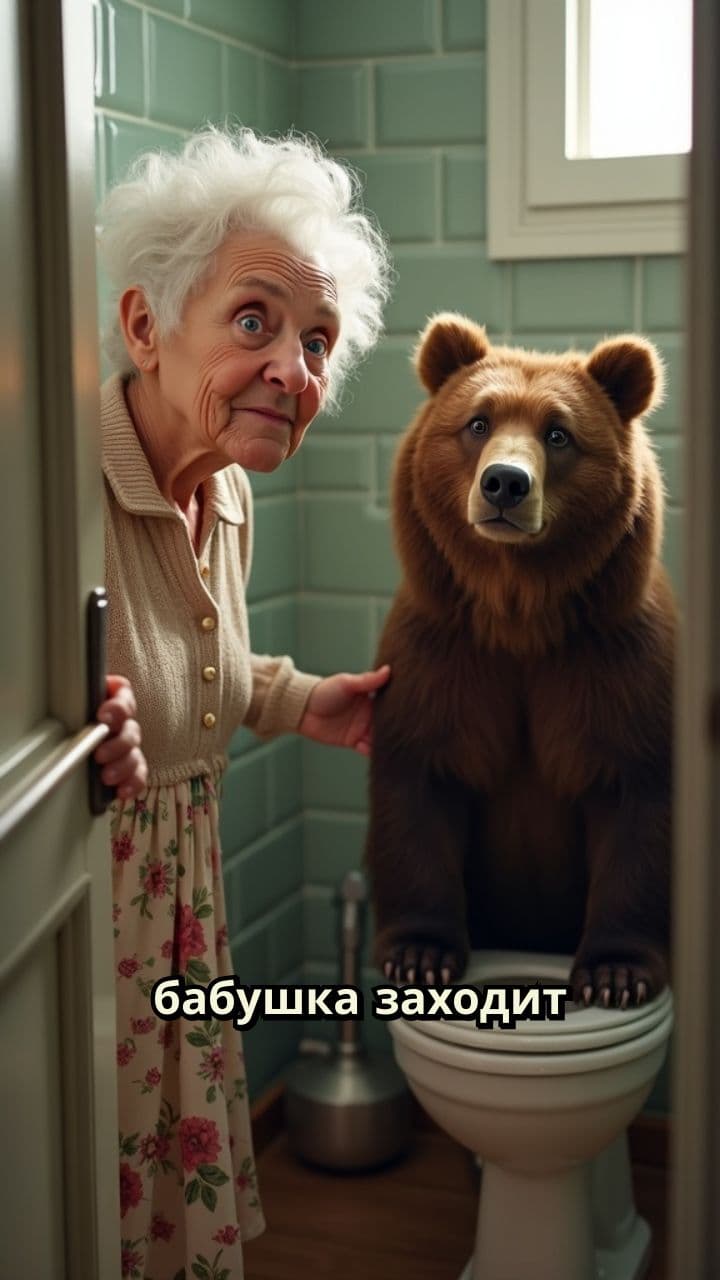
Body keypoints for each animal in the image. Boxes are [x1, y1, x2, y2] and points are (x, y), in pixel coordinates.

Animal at [366, 313, 675, 1008]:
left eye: (559, 433)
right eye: (477, 421)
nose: (505, 482)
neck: (520, 617)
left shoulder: (612, 664)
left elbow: (637, 800)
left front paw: (616, 973)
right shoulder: (443, 657)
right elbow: (418, 784)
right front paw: (420, 956)